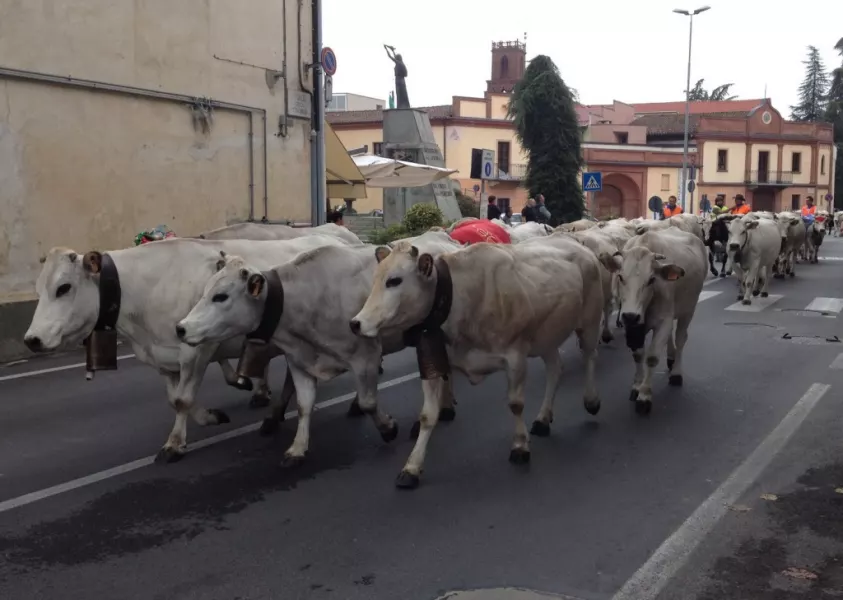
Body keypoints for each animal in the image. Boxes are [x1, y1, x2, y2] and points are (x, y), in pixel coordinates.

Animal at [23, 237, 346, 462]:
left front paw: (174, 444)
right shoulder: (160, 357)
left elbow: (182, 399)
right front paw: (210, 417)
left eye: (64, 287)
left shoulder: (195, 349)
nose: (31, 339)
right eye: (38, 289)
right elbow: (174, 398)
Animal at [352, 234, 608, 488]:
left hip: (590, 320)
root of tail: (576, 243)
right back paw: (543, 419)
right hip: (547, 335)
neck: (462, 297)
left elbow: (516, 404)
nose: (356, 323)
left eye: (394, 281)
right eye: (375, 279)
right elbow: (427, 415)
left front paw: (520, 446)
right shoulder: (434, 359)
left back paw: (592, 400)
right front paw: (411, 468)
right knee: (556, 369)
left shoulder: (515, 355)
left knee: (590, 356)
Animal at [596, 227, 708, 414]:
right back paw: (670, 357)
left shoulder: (664, 320)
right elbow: (637, 354)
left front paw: (644, 395)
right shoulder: (632, 326)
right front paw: (636, 386)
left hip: (688, 309)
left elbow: (652, 357)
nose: (630, 315)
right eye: (620, 277)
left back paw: (676, 372)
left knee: (681, 338)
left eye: (651, 279)